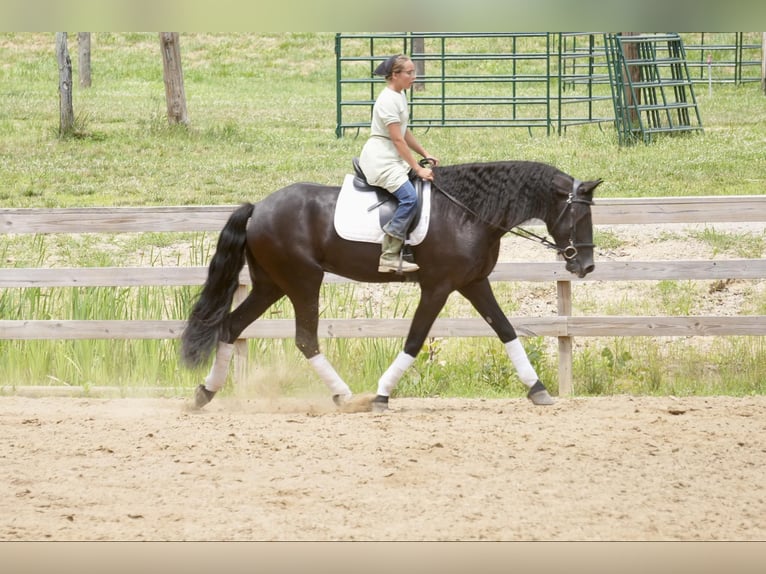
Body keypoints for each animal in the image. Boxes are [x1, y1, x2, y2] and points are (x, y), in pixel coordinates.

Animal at [183, 162, 604, 412]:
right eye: (578, 216)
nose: (585, 265)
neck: (467, 213)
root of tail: (258, 208)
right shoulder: (438, 287)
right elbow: (415, 340)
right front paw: (382, 394)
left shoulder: (473, 282)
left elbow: (506, 330)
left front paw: (538, 389)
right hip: (303, 281)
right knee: (305, 338)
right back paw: (346, 395)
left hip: (272, 284)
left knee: (231, 326)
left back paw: (205, 393)